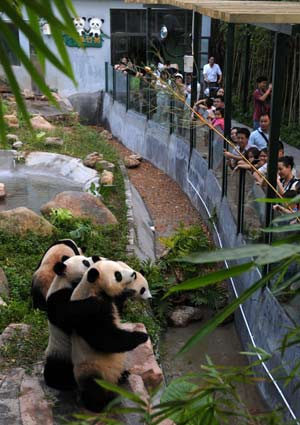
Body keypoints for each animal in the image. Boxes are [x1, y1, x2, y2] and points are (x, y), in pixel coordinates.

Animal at [44, 253, 99, 390]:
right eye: (85, 262)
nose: (95, 259)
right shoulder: (58, 298)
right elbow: (68, 321)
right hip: (61, 352)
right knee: (57, 371)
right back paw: (65, 383)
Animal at [67, 258, 148, 410]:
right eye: (118, 275)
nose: (133, 274)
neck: (93, 288)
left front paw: (127, 293)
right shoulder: (90, 311)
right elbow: (107, 339)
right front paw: (142, 336)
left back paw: (123, 376)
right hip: (89, 369)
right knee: (93, 387)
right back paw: (101, 404)